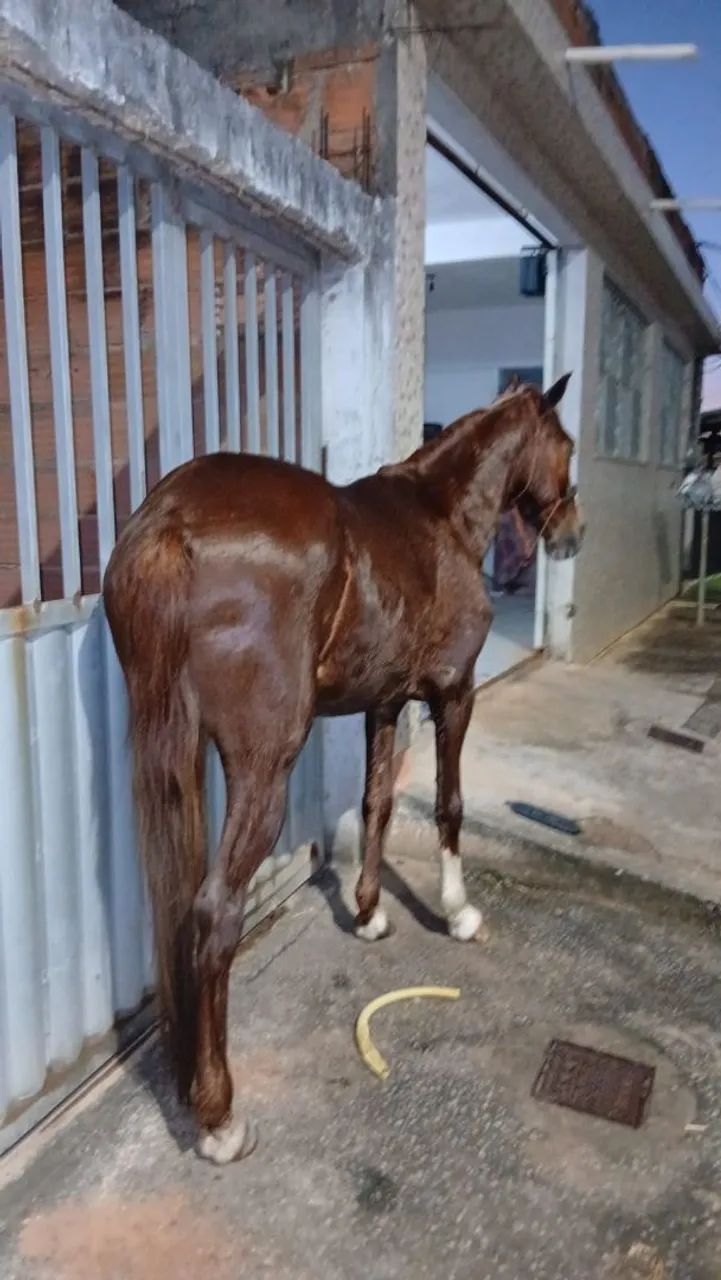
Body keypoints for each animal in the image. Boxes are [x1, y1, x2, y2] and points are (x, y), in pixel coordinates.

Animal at [103, 373, 583, 1165]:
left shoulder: (384, 705)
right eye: (565, 445)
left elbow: (376, 804)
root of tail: (170, 521)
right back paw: (219, 1118)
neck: (442, 517)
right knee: (215, 913)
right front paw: (457, 912)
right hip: (264, 765)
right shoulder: (454, 694)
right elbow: (449, 804)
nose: (571, 534)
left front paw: (367, 913)